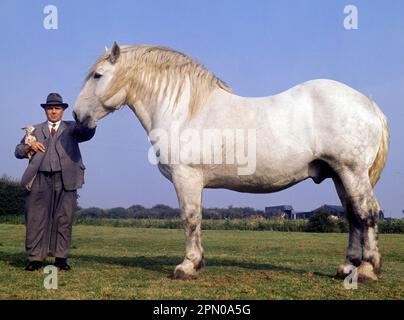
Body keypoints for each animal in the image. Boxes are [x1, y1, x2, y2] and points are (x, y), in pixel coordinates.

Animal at [72, 42, 388, 280]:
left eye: (97, 75)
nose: (77, 115)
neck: (184, 111)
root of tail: (368, 104)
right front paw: (197, 263)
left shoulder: (186, 178)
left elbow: (190, 218)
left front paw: (187, 266)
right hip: (338, 175)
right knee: (353, 215)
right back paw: (347, 268)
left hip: (351, 172)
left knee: (367, 213)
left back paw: (367, 270)